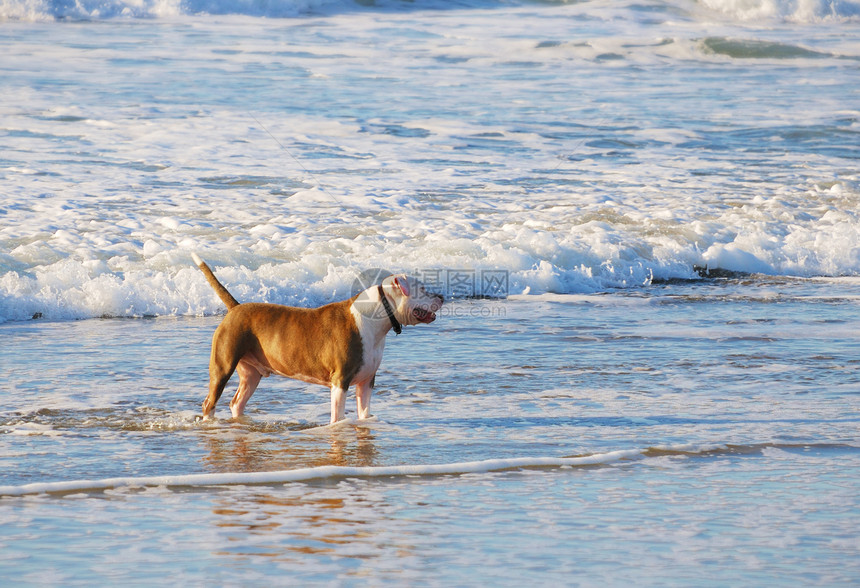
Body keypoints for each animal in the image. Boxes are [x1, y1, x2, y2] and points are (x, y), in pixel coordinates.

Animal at [193, 253, 444, 422]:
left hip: (251, 373)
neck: (378, 314)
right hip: (223, 365)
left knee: (237, 401)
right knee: (210, 401)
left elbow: (364, 413)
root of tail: (235, 307)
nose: (441, 296)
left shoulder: (366, 382)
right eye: (423, 289)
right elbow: (338, 416)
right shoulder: (340, 381)